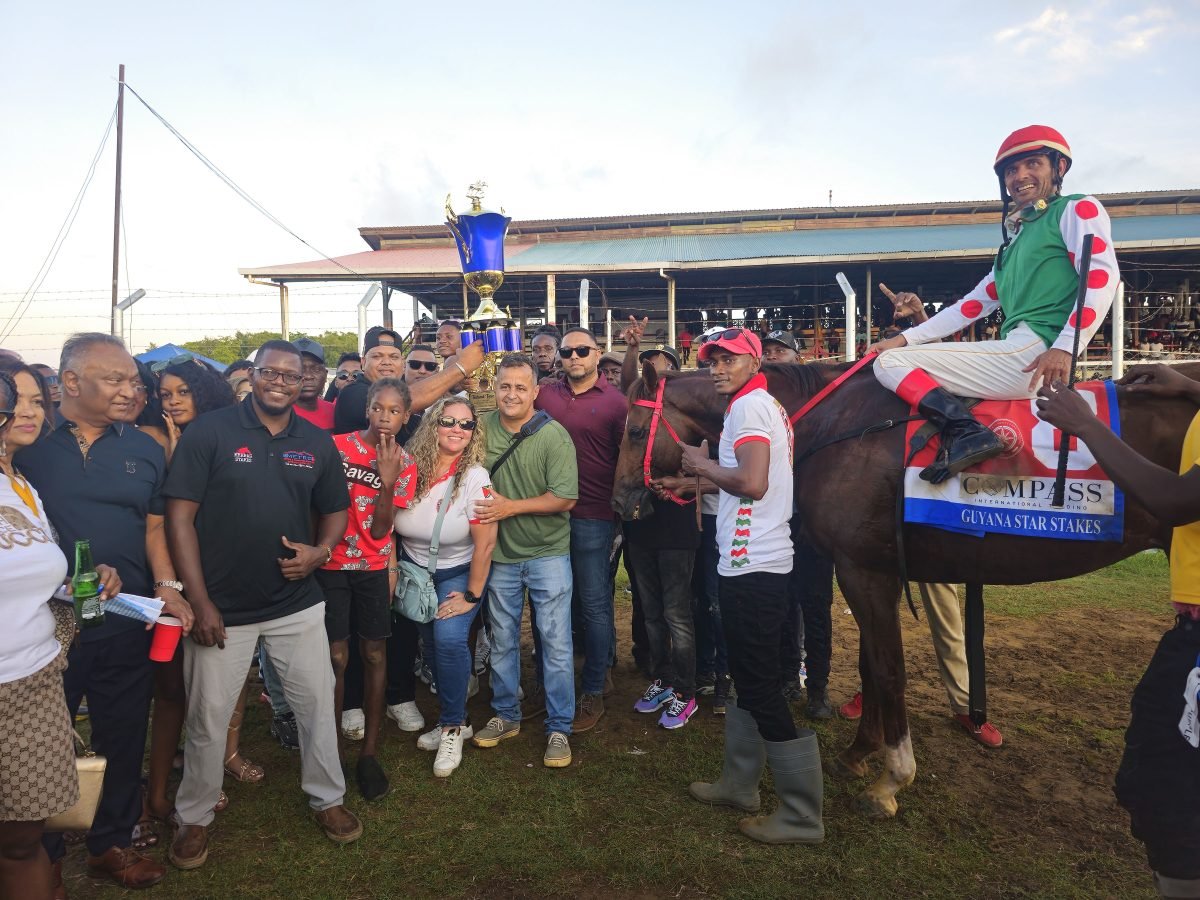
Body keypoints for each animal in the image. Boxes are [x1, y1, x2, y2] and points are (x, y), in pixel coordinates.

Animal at [614, 357, 1195, 816]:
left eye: (636, 432)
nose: (621, 502)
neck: (836, 426)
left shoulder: (862, 569)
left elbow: (889, 668)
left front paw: (890, 780)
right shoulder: (874, 568)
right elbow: (871, 664)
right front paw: (858, 753)